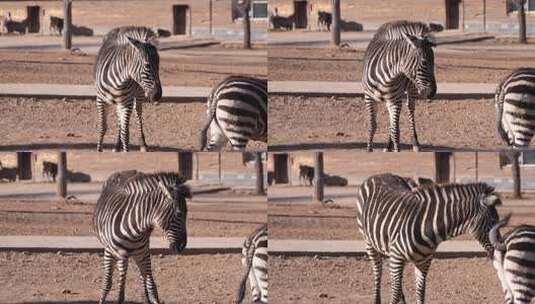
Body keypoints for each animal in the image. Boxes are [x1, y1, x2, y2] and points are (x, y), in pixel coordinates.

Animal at [92, 171, 191, 304]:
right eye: (179, 214)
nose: (182, 246)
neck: (135, 229)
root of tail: (120, 172)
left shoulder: (143, 253)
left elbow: (151, 285)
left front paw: (152, 298)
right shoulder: (115, 252)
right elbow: (112, 286)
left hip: (140, 253)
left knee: (141, 277)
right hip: (117, 252)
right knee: (115, 278)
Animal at [358, 173, 504, 304]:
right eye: (493, 222)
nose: (502, 251)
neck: (426, 227)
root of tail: (378, 175)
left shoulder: (424, 262)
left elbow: (420, 293)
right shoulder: (397, 257)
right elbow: (394, 295)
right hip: (369, 243)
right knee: (378, 272)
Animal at [362, 20, 438, 151]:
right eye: (424, 62)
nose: (433, 92)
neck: (386, 77)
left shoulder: (395, 101)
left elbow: (396, 131)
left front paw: (397, 150)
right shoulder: (369, 98)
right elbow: (372, 126)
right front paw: (369, 149)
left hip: (411, 89)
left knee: (410, 110)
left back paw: (415, 143)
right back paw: (388, 145)